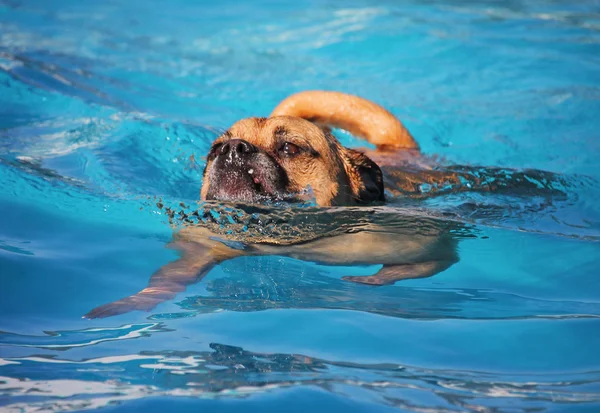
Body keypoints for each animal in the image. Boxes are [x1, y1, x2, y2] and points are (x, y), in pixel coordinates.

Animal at [83, 89, 552, 316]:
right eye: (215, 148)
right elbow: (167, 279)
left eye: (290, 148)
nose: (231, 149)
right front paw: (130, 304)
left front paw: (368, 283)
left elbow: (426, 263)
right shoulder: (203, 245)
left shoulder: (423, 242)